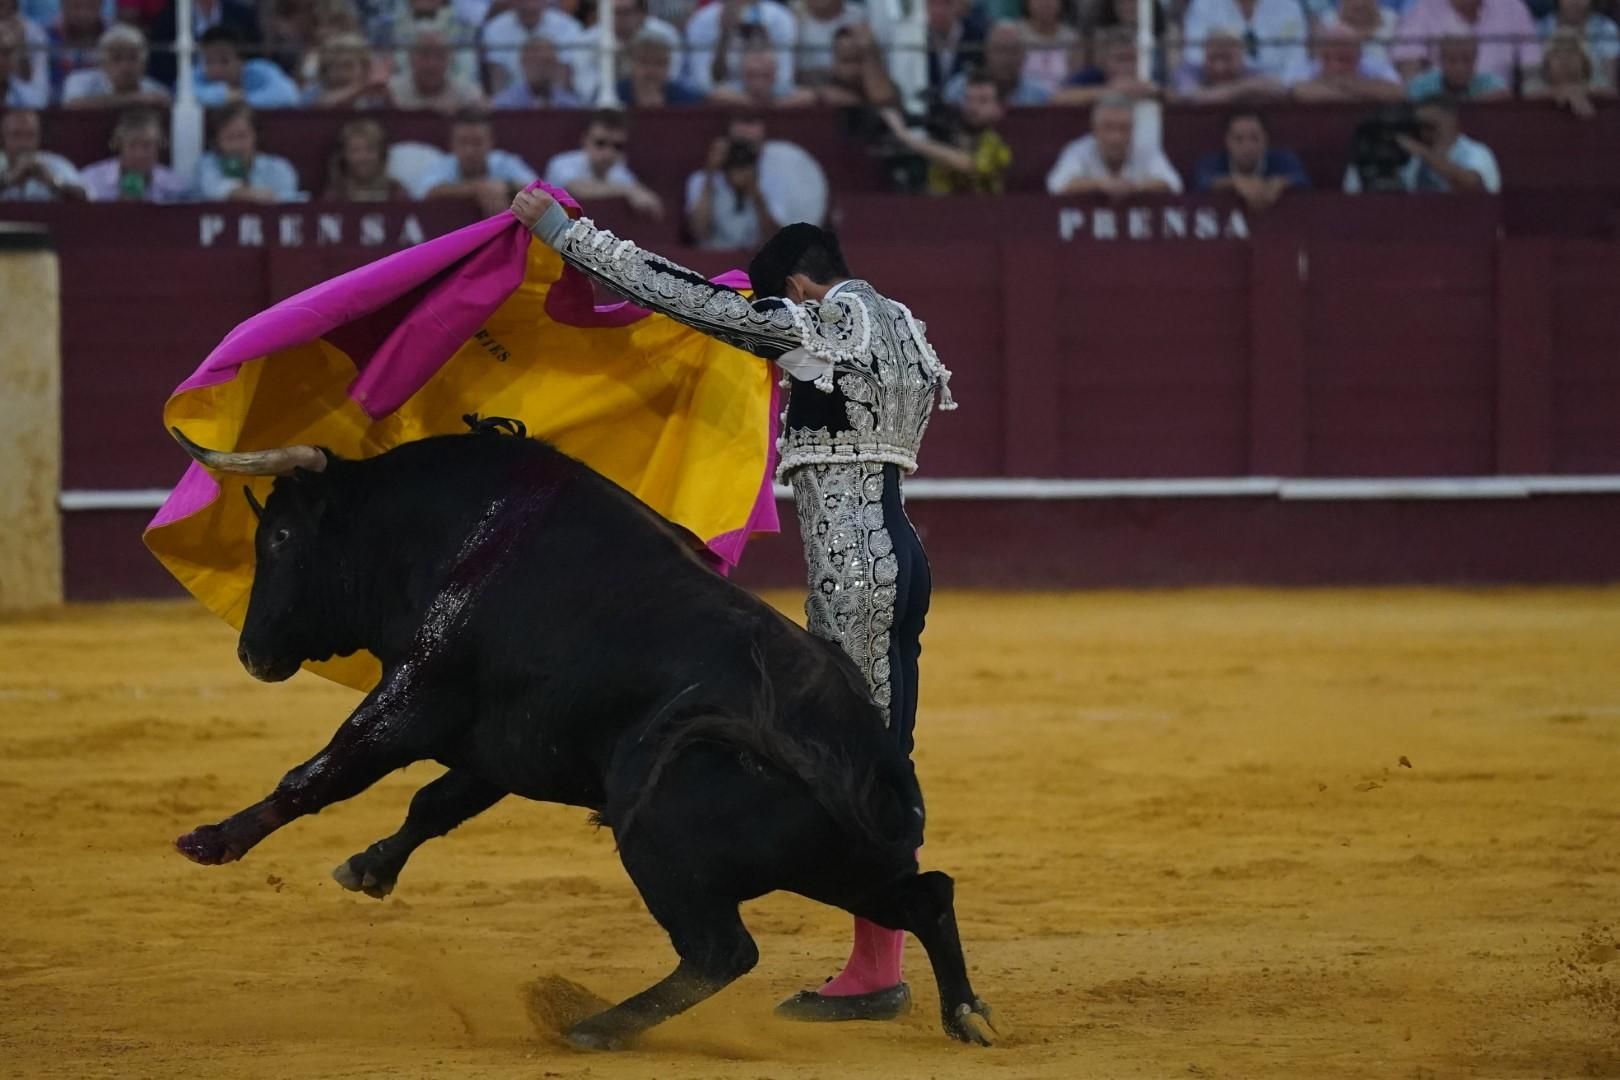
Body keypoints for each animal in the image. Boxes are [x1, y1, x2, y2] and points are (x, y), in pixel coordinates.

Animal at [167, 420, 997, 1049]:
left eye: (278, 536)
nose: (252, 653)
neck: (450, 531)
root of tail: (863, 758)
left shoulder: (415, 696)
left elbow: (327, 768)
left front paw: (211, 841)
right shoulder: (501, 740)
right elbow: (435, 804)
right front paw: (369, 867)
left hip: (663, 841)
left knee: (722, 952)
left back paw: (591, 1025)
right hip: (835, 862)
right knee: (925, 895)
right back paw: (966, 1015)